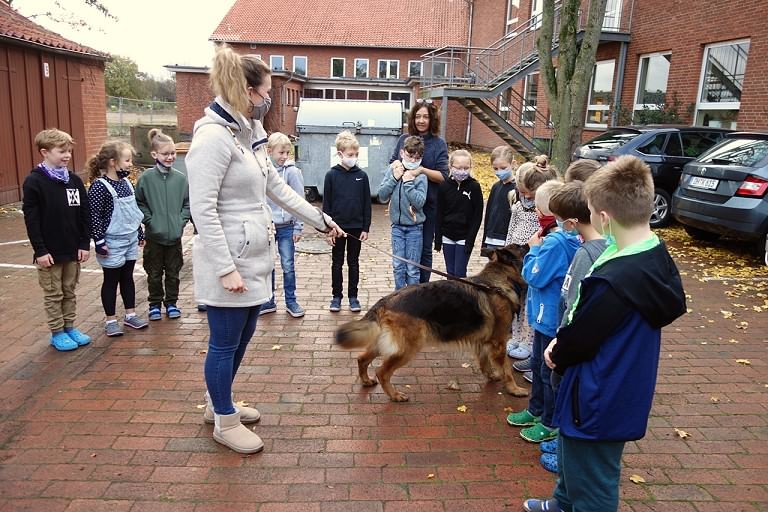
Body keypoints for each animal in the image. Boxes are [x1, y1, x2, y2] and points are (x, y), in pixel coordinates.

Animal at [334, 246, 528, 402]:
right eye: (520, 247)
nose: (530, 243)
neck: (497, 281)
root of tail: (385, 300)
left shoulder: (483, 341)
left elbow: (484, 362)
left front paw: (491, 375)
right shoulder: (499, 343)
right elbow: (507, 369)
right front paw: (514, 389)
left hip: (386, 344)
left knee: (362, 358)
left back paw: (366, 381)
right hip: (407, 349)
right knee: (382, 372)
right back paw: (394, 395)